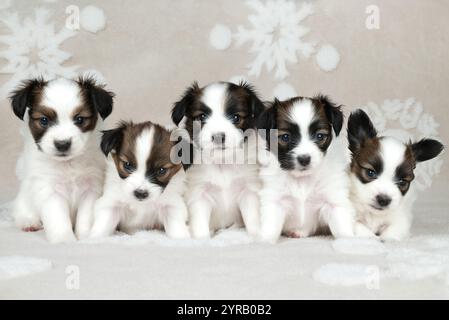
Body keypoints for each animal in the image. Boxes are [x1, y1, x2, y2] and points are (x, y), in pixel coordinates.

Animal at [9, 77, 114, 242]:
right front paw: (65, 241)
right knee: (21, 209)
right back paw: (28, 222)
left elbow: (86, 216)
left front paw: (85, 237)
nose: (62, 144)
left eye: (79, 119)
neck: (68, 164)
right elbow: (58, 218)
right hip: (24, 198)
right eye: (44, 121)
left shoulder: (91, 189)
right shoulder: (50, 190)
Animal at [170, 82, 264, 238]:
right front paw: (202, 239)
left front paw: (257, 237)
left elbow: (252, 219)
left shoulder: (248, 192)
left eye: (236, 118)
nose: (219, 136)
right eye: (201, 117)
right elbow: (200, 224)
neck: (223, 164)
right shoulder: (199, 195)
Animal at [258, 96, 356, 241]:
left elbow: (342, 226)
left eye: (320, 136)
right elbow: (269, 228)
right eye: (285, 137)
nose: (304, 159)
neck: (302, 180)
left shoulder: (334, 202)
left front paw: (350, 242)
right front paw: (264, 242)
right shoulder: (275, 202)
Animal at [346, 109, 440, 240]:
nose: (383, 200)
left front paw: (385, 239)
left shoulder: (401, 220)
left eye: (402, 182)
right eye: (370, 173)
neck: (374, 215)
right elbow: (361, 230)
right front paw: (372, 239)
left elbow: (392, 233)